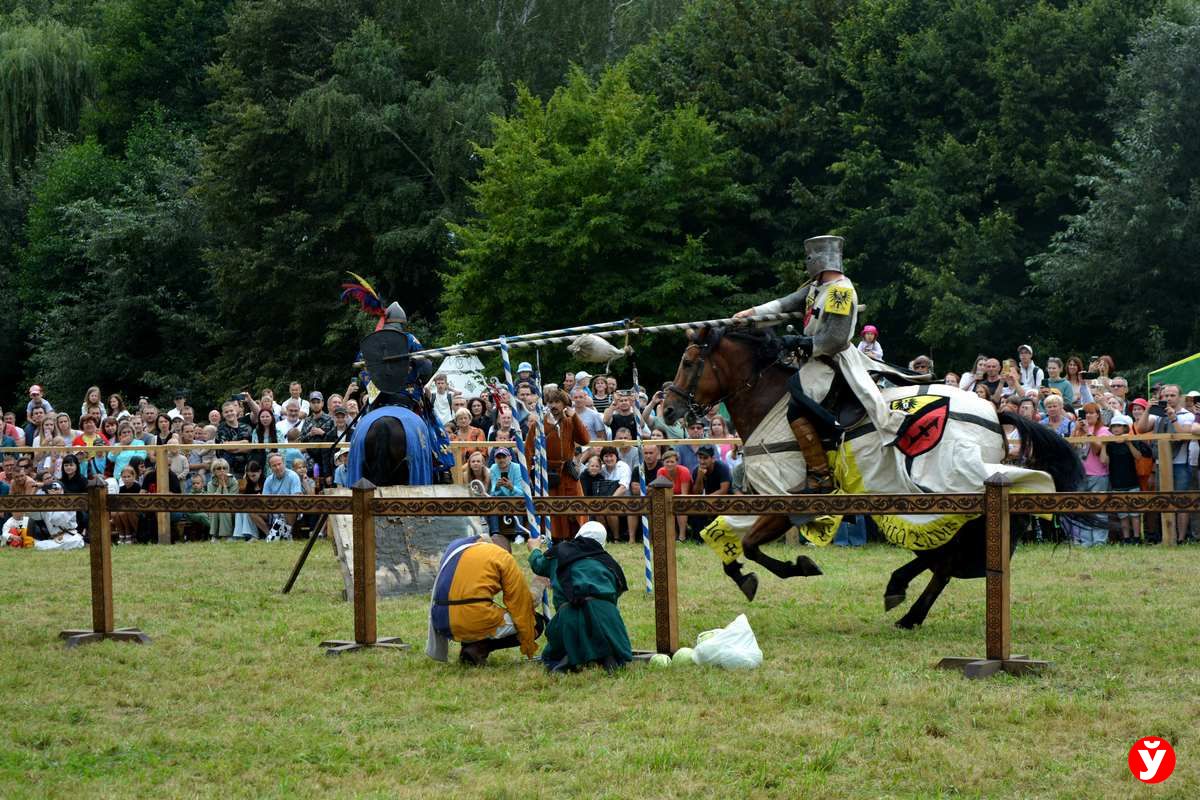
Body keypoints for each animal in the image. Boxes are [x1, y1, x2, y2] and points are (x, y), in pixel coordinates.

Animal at [662, 326, 1084, 633]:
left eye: (688, 361)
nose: (668, 408)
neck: (768, 402)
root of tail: (995, 414)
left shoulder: (785, 500)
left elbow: (750, 545)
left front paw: (798, 566)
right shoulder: (759, 497)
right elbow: (727, 540)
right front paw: (743, 575)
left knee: (945, 557)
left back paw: (903, 597)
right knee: (945, 559)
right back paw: (907, 605)